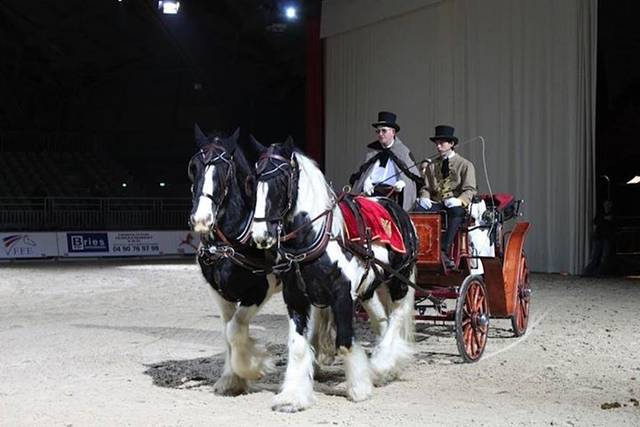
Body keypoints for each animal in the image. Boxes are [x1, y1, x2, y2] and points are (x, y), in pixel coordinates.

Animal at [190, 126, 280, 398]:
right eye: (193, 167)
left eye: (225, 171)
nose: (201, 219)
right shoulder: (220, 293)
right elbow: (227, 330)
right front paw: (231, 379)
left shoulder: (259, 292)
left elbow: (236, 331)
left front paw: (254, 367)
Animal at [248, 139, 418, 412]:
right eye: (255, 181)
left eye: (282, 180)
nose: (260, 235)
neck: (317, 237)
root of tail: (395, 206)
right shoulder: (295, 298)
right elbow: (298, 347)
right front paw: (292, 397)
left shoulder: (342, 296)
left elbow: (345, 344)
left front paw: (359, 389)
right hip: (368, 289)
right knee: (383, 320)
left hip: (400, 280)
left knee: (397, 316)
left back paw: (382, 365)